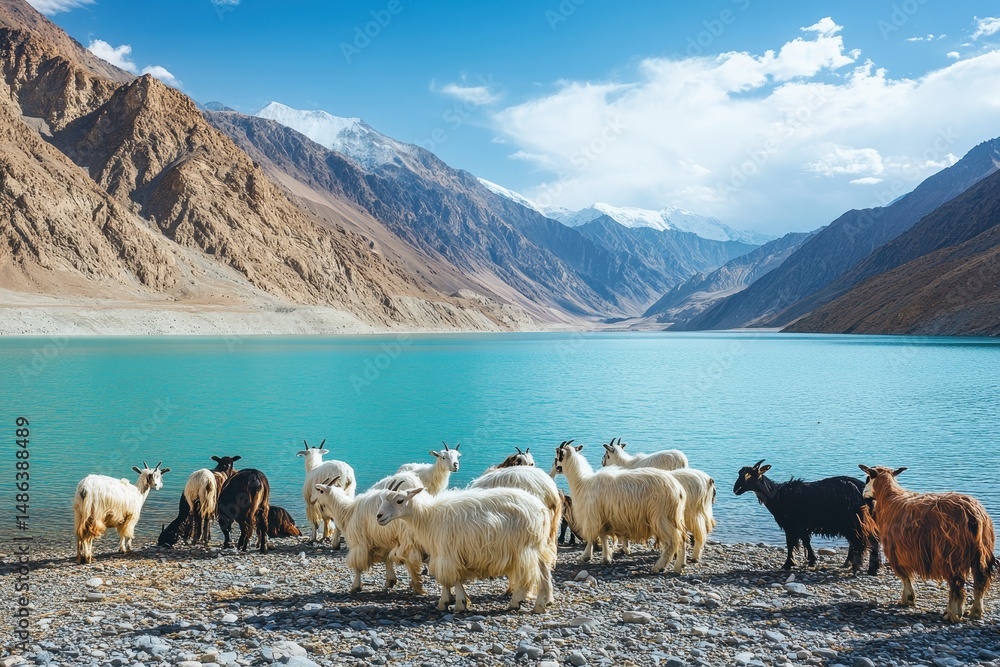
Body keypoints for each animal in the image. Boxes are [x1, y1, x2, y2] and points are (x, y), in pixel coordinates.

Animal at [376, 486, 556, 613]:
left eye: (400, 500)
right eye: (383, 499)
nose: (379, 516)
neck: (427, 517)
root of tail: (542, 510)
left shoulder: (448, 552)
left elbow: (451, 577)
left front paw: (455, 603)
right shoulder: (447, 553)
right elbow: (451, 578)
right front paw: (452, 601)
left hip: (523, 548)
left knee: (529, 575)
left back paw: (516, 602)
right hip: (537, 545)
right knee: (545, 572)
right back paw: (542, 604)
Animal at [551, 441, 687, 573]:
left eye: (557, 455)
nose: (555, 469)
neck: (582, 481)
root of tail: (678, 489)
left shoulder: (592, 515)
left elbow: (592, 536)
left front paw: (586, 556)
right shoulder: (602, 516)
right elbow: (603, 535)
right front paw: (606, 558)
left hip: (660, 516)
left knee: (673, 541)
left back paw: (659, 566)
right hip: (675, 516)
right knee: (683, 537)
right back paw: (679, 566)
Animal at [734, 460, 880, 574]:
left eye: (749, 475)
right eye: (739, 473)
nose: (736, 490)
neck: (777, 495)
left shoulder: (791, 525)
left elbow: (791, 544)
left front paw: (788, 564)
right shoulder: (801, 526)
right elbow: (806, 542)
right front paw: (811, 561)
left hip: (854, 521)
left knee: (861, 542)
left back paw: (857, 566)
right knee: (864, 541)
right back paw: (859, 566)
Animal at [860, 465, 997, 622]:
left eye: (868, 478)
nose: (863, 493)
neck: (888, 498)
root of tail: (973, 516)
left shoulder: (896, 551)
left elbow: (905, 577)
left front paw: (907, 599)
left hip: (950, 554)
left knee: (956, 585)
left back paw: (951, 613)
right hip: (980, 552)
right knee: (979, 581)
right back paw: (975, 612)